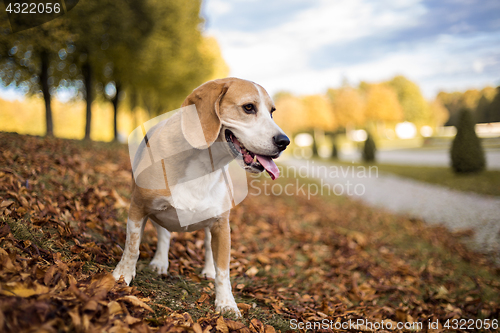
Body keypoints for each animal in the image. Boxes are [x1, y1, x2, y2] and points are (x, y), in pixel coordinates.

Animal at [114, 76, 292, 316]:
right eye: (248, 107)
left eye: (272, 112)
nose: (284, 141)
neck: (203, 165)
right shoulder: (138, 208)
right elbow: (132, 247)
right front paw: (122, 276)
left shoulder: (221, 225)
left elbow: (224, 270)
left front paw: (226, 303)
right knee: (164, 235)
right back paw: (160, 262)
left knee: (208, 247)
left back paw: (208, 269)